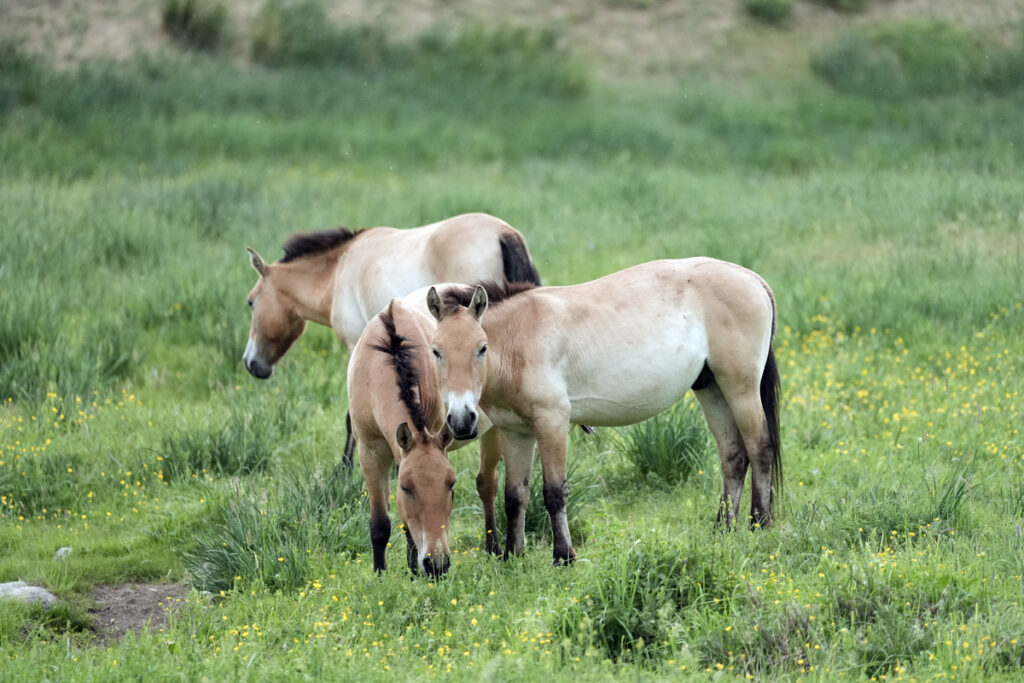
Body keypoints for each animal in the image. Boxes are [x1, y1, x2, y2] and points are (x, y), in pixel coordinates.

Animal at [240, 214, 544, 464]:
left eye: (251, 302)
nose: (250, 364)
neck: (339, 268)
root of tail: (503, 232)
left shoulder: (355, 346)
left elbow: (350, 417)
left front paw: (344, 469)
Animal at [428, 258, 778, 565]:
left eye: (481, 348)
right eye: (436, 351)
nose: (461, 419)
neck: (520, 339)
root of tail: (751, 278)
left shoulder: (552, 423)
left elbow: (554, 493)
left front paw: (564, 557)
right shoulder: (516, 433)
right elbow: (514, 497)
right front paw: (513, 557)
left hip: (740, 389)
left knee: (760, 449)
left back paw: (760, 524)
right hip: (712, 390)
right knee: (734, 456)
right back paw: (723, 529)